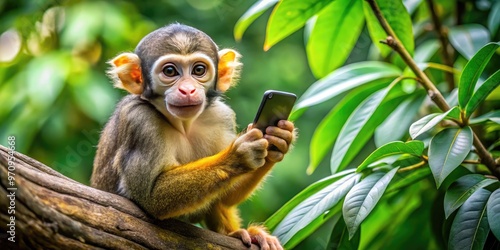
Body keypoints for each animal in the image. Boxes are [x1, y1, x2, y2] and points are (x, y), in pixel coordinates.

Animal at [90, 23, 294, 250]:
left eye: (198, 70)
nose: (187, 90)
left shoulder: (221, 115)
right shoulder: (139, 121)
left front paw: (279, 139)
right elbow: (150, 197)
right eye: (170, 71)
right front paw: (238, 156)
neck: (182, 124)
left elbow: (225, 197)